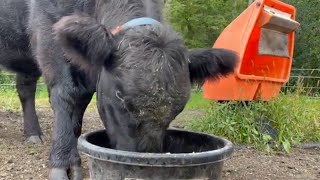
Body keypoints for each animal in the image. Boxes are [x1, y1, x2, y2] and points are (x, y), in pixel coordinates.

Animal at [0, 0, 238, 179]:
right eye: (120, 97)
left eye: (178, 109)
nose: (142, 159)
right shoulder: (47, 30)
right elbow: (66, 94)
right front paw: (63, 162)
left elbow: (80, 101)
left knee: (25, 87)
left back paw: (33, 133)